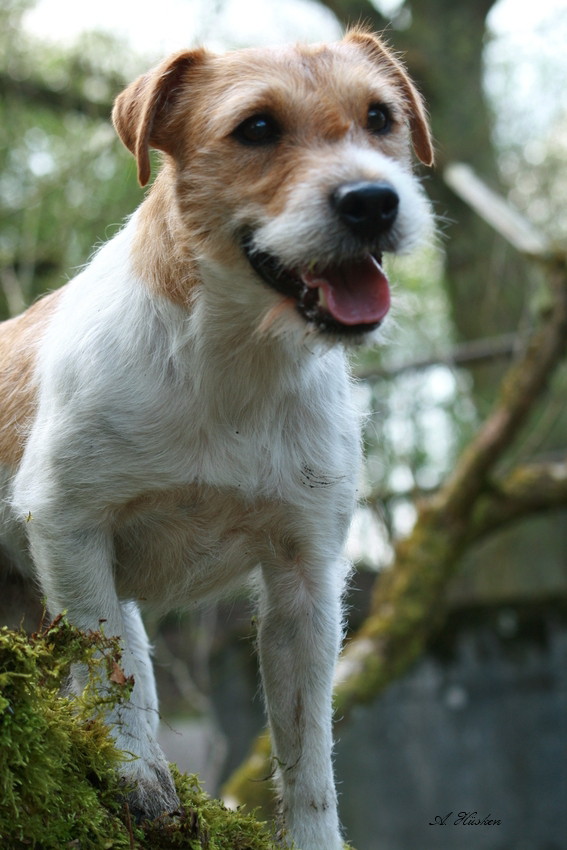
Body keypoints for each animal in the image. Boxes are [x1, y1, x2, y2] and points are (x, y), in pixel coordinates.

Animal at [1, 29, 434, 848]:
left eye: (380, 117)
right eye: (256, 128)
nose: (373, 201)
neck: (233, 366)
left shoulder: (306, 580)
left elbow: (308, 748)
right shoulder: (68, 523)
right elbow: (111, 663)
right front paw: (134, 772)